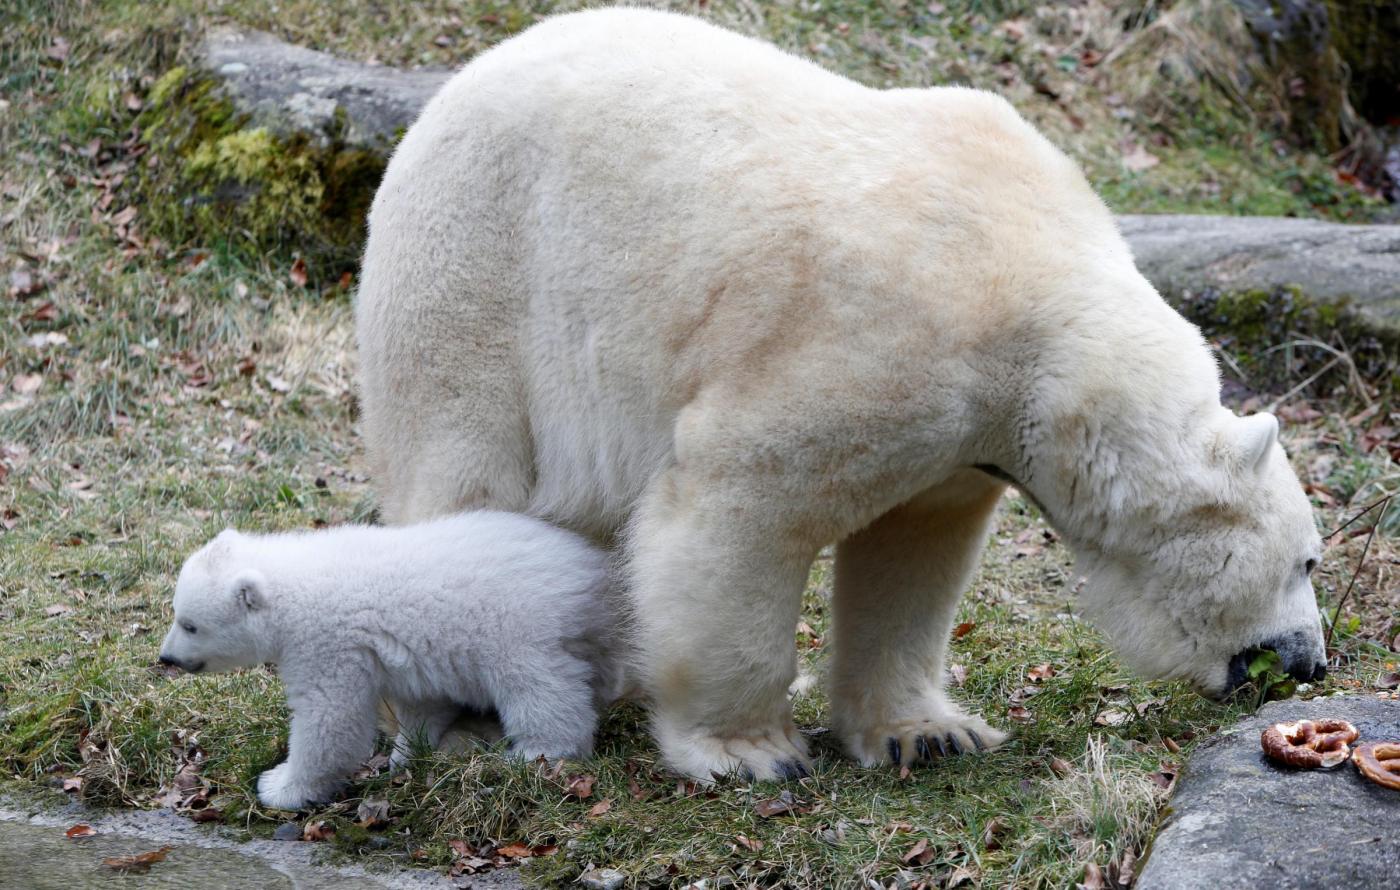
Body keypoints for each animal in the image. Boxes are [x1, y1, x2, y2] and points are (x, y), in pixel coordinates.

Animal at [158, 512, 619, 809]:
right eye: (177, 612)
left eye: (190, 624)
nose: (167, 657)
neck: (296, 587)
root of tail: (592, 573)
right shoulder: (417, 653)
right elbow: (423, 701)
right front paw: (406, 754)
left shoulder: (328, 644)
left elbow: (330, 720)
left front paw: (279, 786)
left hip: (520, 625)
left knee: (539, 689)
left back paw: (538, 753)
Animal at [355, 8, 1327, 782]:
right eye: (1310, 561)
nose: (1310, 664)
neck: (1047, 313)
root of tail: (456, 86)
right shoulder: (883, 344)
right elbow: (736, 508)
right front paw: (748, 752)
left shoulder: (961, 437)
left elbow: (910, 557)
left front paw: (929, 734)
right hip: (481, 273)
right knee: (464, 473)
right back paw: (465, 715)